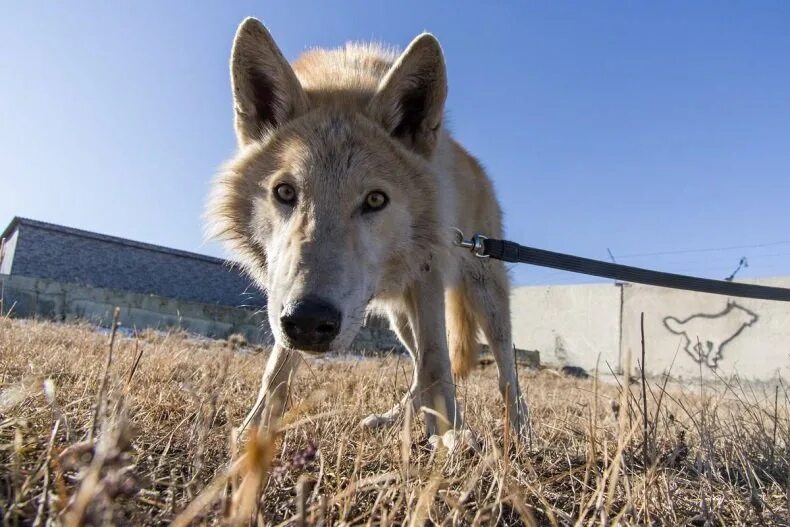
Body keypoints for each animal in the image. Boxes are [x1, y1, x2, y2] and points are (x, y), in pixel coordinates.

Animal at [210, 17, 528, 442]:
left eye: (375, 200)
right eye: (285, 192)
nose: (308, 322)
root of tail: (479, 170)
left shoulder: (426, 274)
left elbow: (437, 361)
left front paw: (449, 435)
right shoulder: (286, 295)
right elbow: (276, 369)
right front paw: (254, 432)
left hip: (484, 297)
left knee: (506, 370)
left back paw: (520, 433)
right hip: (397, 317)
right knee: (416, 367)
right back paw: (395, 419)